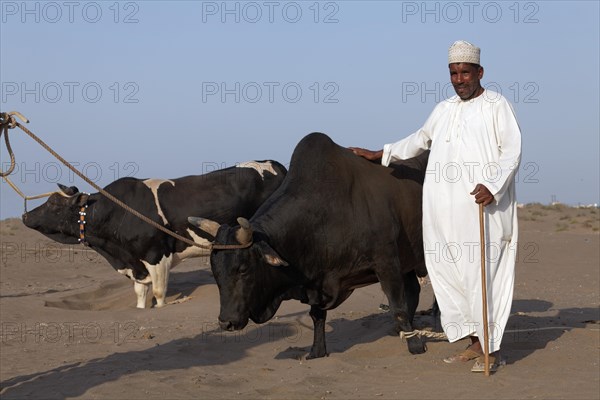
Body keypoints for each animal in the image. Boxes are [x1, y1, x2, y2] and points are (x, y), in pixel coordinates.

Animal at [22, 161, 288, 308]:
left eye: (54, 205)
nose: (25, 216)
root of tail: (273, 164)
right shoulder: (135, 263)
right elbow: (141, 294)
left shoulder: (156, 256)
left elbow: (159, 295)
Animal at [190, 133, 428, 358]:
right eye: (215, 272)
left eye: (243, 269)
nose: (226, 322)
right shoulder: (316, 277)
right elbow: (317, 315)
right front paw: (317, 351)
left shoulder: (387, 263)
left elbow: (398, 306)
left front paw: (415, 346)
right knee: (414, 290)